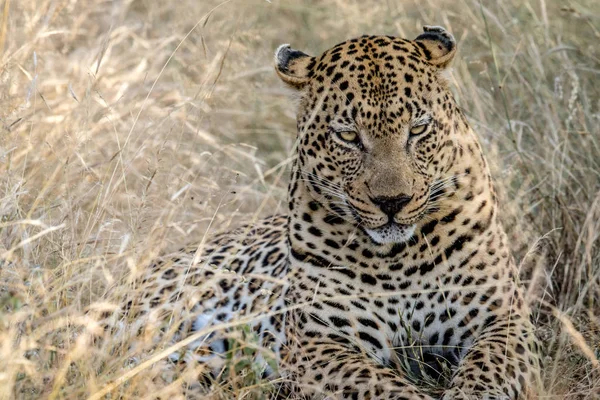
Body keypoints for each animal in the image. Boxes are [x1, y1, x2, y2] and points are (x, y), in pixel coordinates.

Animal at [104, 26, 544, 398]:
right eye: (348, 137)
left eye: (418, 130)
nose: (393, 202)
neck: (400, 259)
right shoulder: (319, 343)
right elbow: (382, 387)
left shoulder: (503, 320)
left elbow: (488, 374)